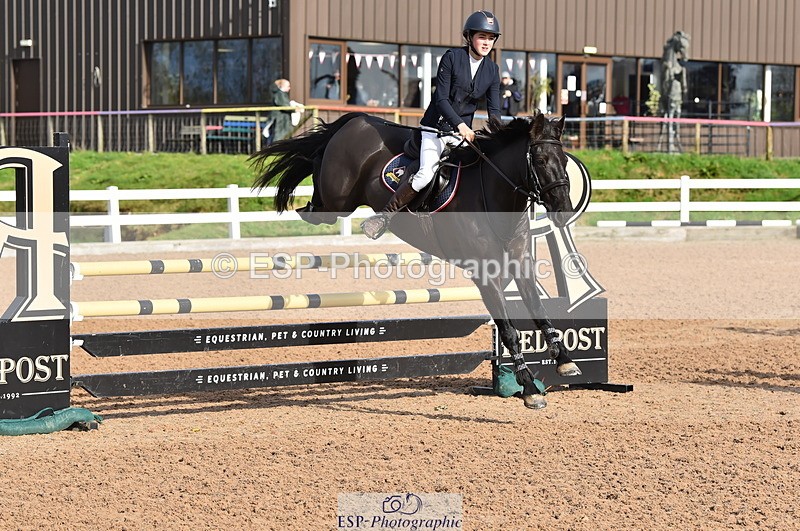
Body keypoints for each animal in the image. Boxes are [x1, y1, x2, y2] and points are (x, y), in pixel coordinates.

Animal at [250, 111, 581, 409]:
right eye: (540, 161)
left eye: (565, 162)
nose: (564, 210)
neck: (495, 197)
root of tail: (358, 119)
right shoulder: (485, 275)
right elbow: (510, 332)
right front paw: (529, 389)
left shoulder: (520, 265)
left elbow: (539, 312)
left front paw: (565, 361)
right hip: (337, 201)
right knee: (320, 194)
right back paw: (320, 207)